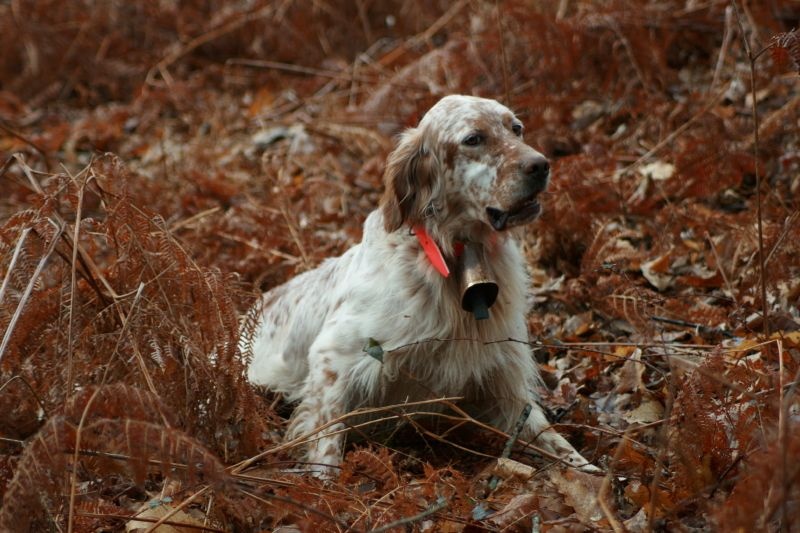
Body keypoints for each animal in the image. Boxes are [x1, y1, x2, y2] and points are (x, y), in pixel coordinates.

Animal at [242, 94, 592, 474]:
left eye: (517, 129)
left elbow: (552, 440)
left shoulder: (504, 380)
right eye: (473, 139)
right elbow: (327, 446)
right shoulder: (331, 359)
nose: (541, 165)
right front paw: (325, 482)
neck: (451, 254)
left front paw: (591, 474)